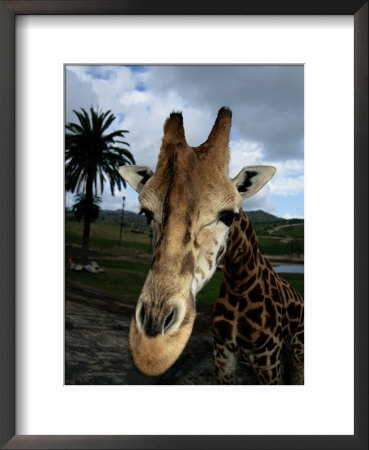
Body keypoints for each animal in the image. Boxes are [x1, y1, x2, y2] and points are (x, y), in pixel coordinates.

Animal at [119, 106, 304, 384]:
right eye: (146, 213)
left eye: (229, 216)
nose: (152, 351)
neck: (240, 287)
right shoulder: (222, 354)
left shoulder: (267, 359)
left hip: (297, 351)